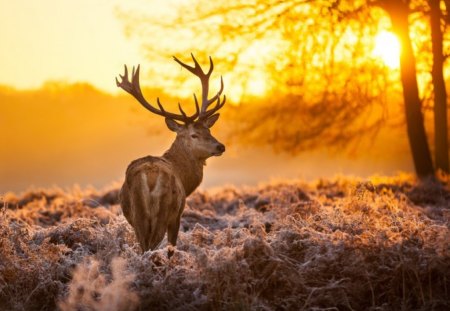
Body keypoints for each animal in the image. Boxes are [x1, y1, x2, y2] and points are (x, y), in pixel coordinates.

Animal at [115, 54, 225, 258]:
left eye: (209, 130)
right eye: (194, 135)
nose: (220, 146)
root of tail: (149, 177)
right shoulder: (178, 215)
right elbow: (172, 247)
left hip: (137, 215)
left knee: (143, 247)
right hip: (163, 212)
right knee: (152, 247)